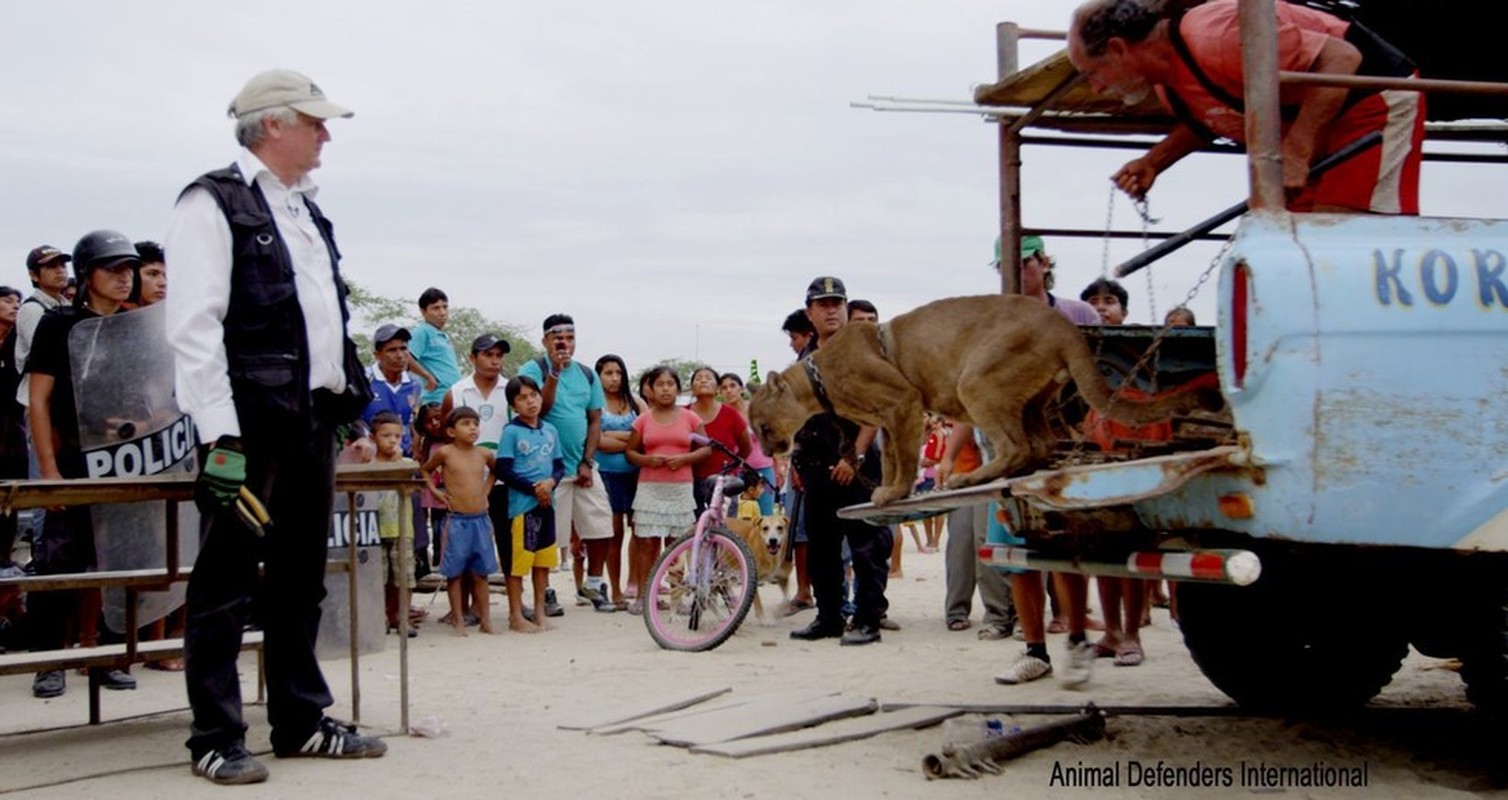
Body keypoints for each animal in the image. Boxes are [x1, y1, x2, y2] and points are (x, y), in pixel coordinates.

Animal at [747, 293, 1218, 506]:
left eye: (763, 426)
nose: (769, 449)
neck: (816, 377)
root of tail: (1064, 324)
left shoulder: (902, 402)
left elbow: (905, 457)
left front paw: (894, 491)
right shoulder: (887, 416)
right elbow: (895, 454)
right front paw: (889, 488)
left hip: (977, 382)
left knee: (1016, 445)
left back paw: (967, 479)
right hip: (1031, 400)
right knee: (1039, 444)